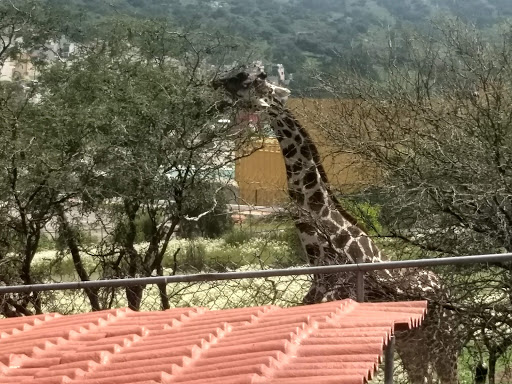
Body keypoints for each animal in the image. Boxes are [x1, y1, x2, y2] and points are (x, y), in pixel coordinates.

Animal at [214, 66, 462, 384]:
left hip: (445, 343)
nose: (217, 81)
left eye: (250, 79)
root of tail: (446, 290)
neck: (325, 250)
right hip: (415, 344)